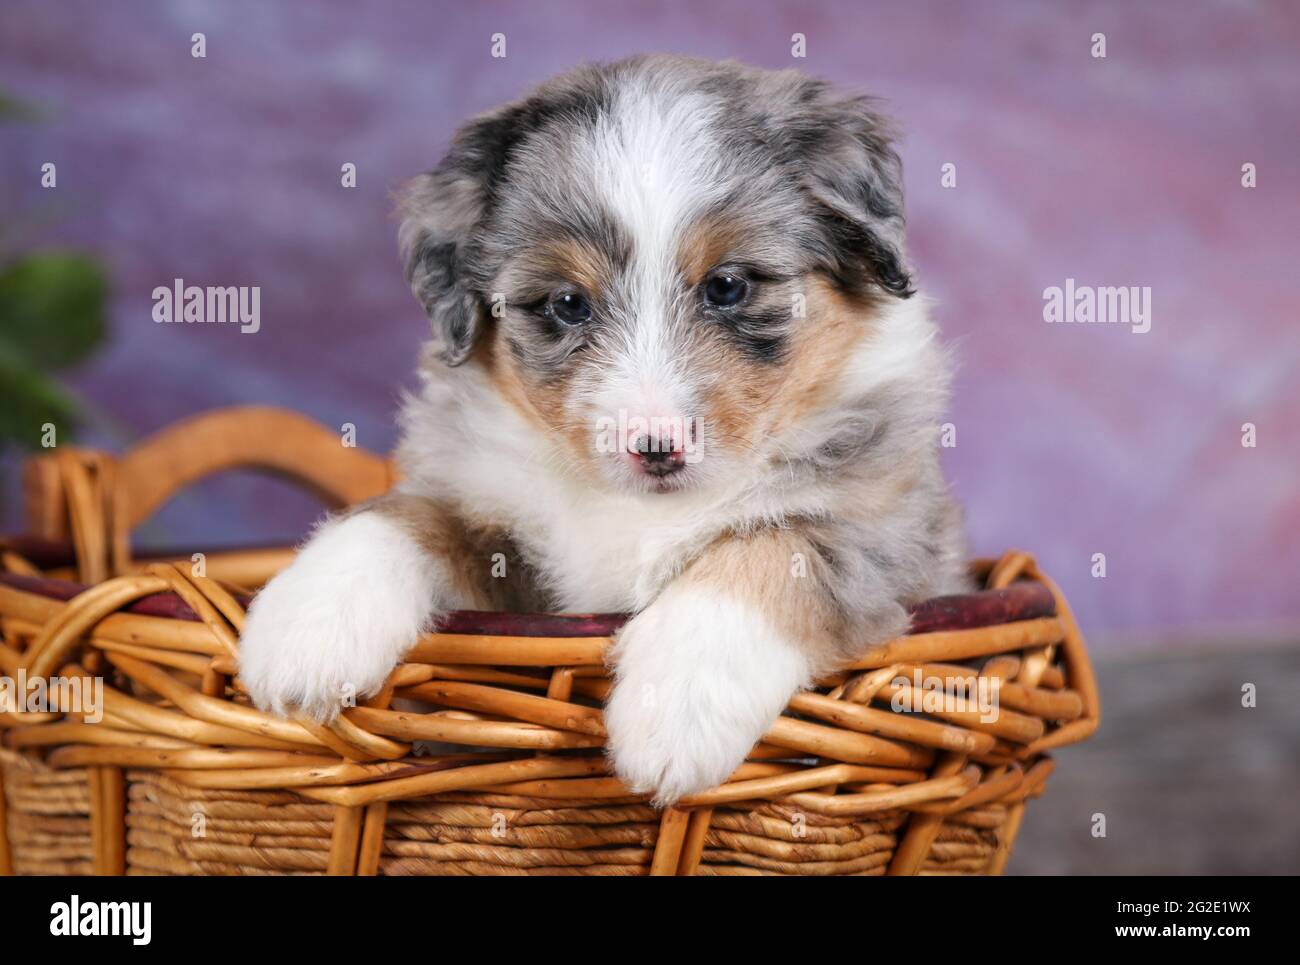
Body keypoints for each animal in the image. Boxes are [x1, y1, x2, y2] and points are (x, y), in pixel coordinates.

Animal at [236, 54, 967, 806]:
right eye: (566, 303)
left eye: (728, 286)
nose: (655, 449)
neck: (641, 511)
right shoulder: (497, 529)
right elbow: (408, 515)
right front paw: (305, 625)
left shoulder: (889, 525)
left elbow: (773, 547)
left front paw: (675, 712)